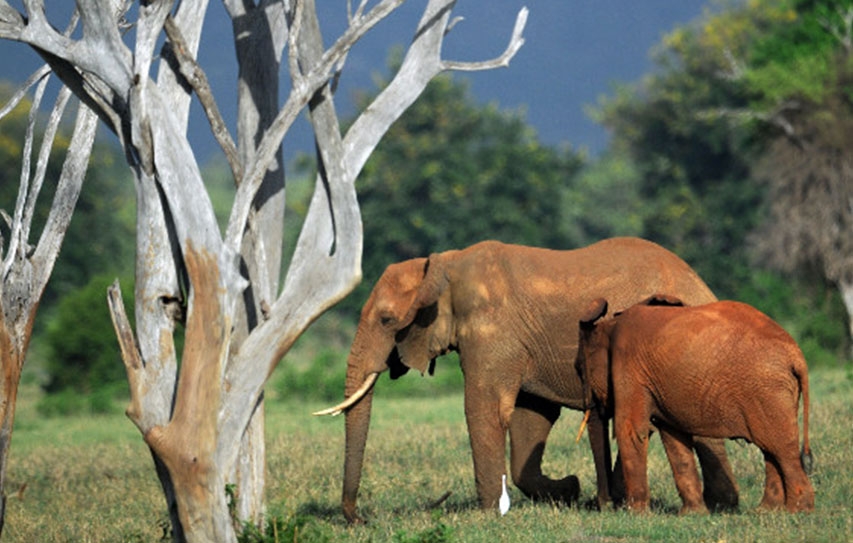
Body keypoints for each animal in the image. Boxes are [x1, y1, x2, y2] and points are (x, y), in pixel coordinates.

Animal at [315, 237, 739, 523]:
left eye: (387, 320)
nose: (360, 520)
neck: (443, 266)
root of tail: (699, 281)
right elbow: (529, 417)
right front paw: (568, 490)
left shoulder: (492, 331)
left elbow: (486, 410)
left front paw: (488, 514)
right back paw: (718, 506)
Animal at [576, 295, 814, 514]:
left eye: (579, 369)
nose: (607, 506)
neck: (609, 325)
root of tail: (796, 354)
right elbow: (673, 437)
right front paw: (692, 515)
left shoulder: (628, 366)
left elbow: (631, 430)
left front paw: (637, 515)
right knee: (770, 449)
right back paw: (767, 511)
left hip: (767, 391)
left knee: (781, 449)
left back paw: (797, 511)